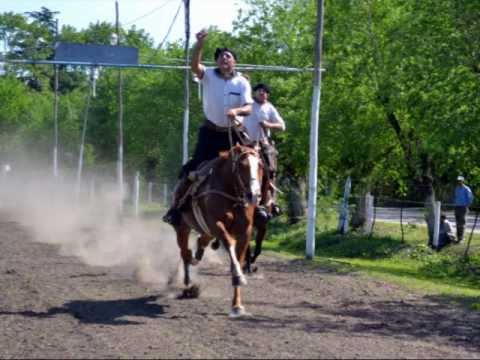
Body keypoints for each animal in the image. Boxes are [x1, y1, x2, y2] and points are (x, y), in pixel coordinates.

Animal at [171, 143, 264, 318]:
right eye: (242, 165)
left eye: (260, 166)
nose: (254, 195)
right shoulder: (216, 225)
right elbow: (229, 243)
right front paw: (238, 276)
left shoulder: (245, 233)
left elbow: (239, 258)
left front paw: (237, 305)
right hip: (183, 228)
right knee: (185, 253)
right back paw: (188, 284)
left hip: (206, 231)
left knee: (199, 243)